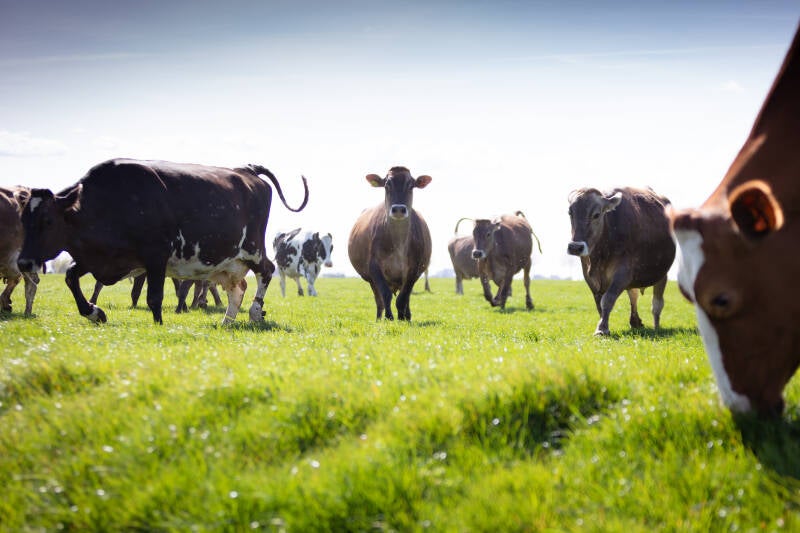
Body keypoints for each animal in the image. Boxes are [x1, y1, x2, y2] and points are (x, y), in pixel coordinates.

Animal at [16, 159, 308, 325]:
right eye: (23, 220)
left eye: (48, 221)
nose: (23, 262)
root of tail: (247, 171)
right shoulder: (104, 258)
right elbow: (71, 277)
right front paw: (93, 312)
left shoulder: (155, 256)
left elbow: (154, 298)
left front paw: (159, 325)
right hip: (228, 263)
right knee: (238, 287)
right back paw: (227, 321)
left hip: (252, 250)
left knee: (266, 271)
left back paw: (255, 313)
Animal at [348, 166, 431, 320]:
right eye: (387, 185)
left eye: (411, 185)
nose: (398, 209)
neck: (398, 243)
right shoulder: (374, 267)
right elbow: (385, 295)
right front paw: (388, 318)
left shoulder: (413, 269)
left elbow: (403, 298)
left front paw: (402, 318)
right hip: (371, 279)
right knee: (378, 299)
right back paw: (379, 318)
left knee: (406, 297)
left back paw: (407, 316)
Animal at [567, 187, 675, 336]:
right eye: (570, 213)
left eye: (596, 215)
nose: (575, 247)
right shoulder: (589, 276)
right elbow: (599, 303)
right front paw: (602, 323)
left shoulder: (623, 272)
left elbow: (607, 299)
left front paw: (602, 329)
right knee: (634, 295)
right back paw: (635, 321)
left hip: (662, 274)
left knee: (657, 304)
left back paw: (656, 327)